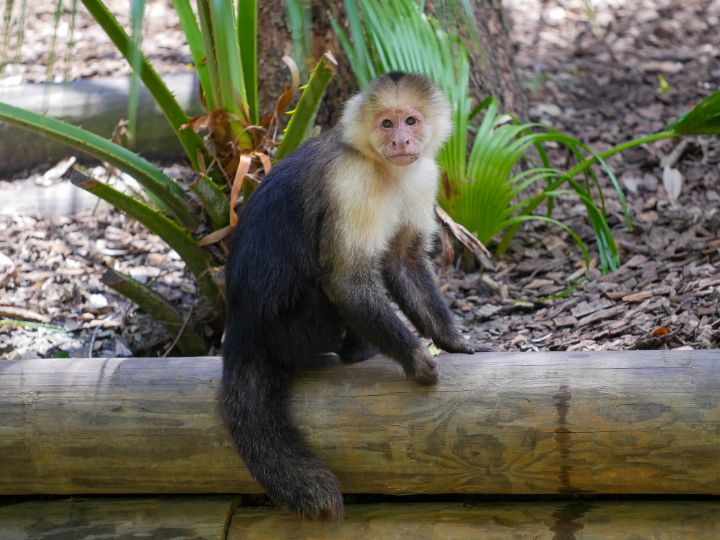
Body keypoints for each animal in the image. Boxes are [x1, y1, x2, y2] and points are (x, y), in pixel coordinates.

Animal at [222, 72, 485, 520]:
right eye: (386, 124)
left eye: (410, 121)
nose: (401, 140)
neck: (380, 164)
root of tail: (240, 326)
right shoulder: (351, 183)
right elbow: (346, 280)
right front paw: (414, 357)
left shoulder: (423, 175)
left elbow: (403, 259)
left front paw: (452, 340)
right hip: (290, 333)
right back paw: (354, 352)